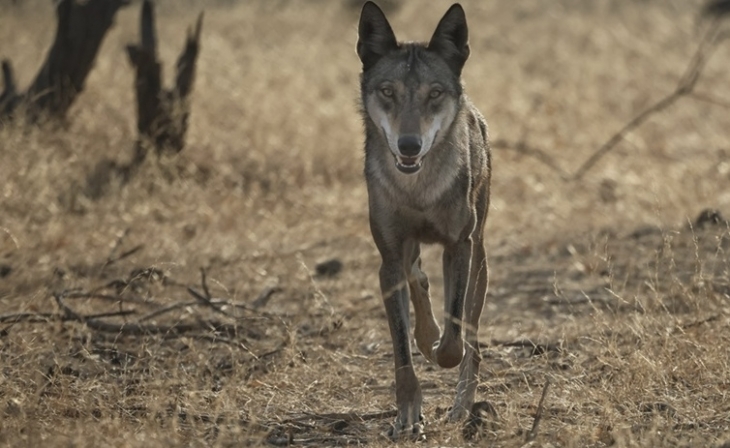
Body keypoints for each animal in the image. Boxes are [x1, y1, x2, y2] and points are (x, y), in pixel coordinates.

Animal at [354, 0, 490, 440]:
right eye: (387, 92)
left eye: (434, 94)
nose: (409, 145)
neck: (418, 189)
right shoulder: (388, 260)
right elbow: (402, 351)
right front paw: (408, 417)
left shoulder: (458, 246)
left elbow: (453, 342)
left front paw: (440, 351)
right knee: (418, 278)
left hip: (480, 260)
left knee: (472, 340)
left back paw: (462, 406)